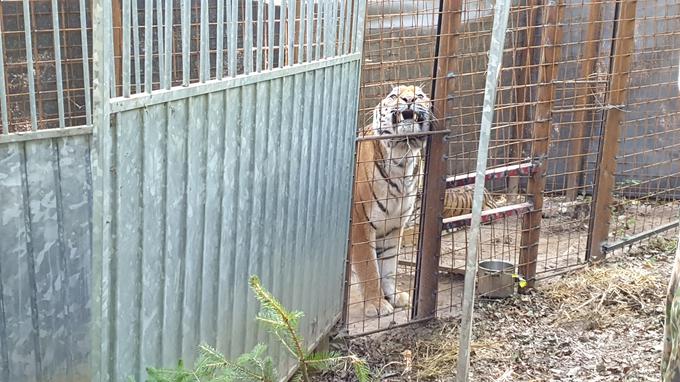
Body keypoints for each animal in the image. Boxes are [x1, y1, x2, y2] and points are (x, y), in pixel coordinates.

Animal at [354, 85, 432, 318]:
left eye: (421, 95)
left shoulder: (393, 226)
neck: (401, 158)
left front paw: (393, 296)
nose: (409, 99)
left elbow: (388, 267)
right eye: (394, 96)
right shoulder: (360, 226)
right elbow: (369, 268)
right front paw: (377, 305)